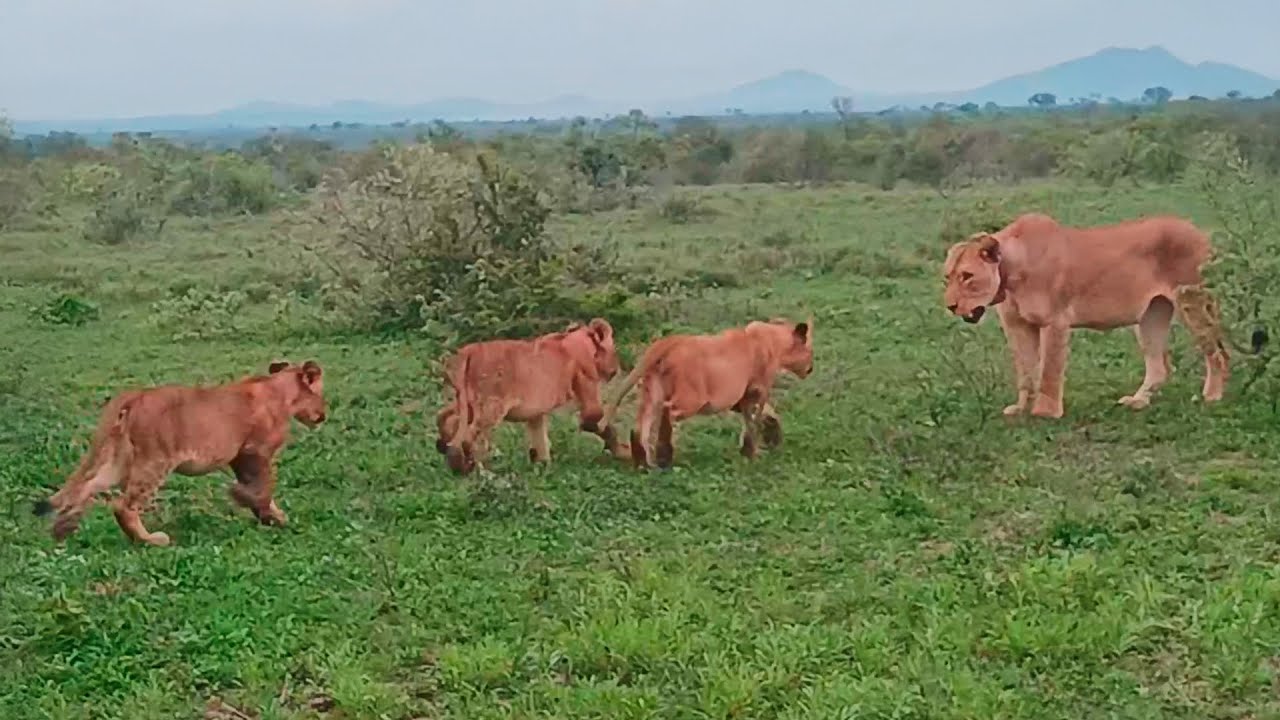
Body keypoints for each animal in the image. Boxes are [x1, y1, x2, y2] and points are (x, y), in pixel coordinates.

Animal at [33, 360, 327, 547]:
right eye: (322, 395)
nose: (324, 416)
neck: (280, 390)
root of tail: (136, 394)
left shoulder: (241, 457)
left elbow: (258, 488)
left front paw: (271, 516)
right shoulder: (254, 452)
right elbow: (264, 487)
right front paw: (261, 510)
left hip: (119, 460)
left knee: (87, 486)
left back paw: (63, 530)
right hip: (155, 461)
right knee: (122, 506)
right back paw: (152, 541)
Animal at [435, 318, 628, 473]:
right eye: (614, 348)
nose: (616, 369)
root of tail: (469, 351)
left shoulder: (536, 412)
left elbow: (540, 439)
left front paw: (543, 467)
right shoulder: (587, 388)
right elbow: (601, 425)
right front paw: (624, 452)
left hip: (467, 403)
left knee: (443, 416)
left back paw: (445, 447)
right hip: (492, 407)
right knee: (468, 437)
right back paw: (471, 469)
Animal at [601, 317, 814, 468]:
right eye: (810, 351)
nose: (811, 369)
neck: (770, 339)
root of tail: (667, 342)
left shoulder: (739, 398)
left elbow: (764, 415)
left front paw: (768, 438)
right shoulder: (757, 391)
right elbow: (754, 422)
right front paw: (752, 453)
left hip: (652, 393)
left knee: (639, 426)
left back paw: (644, 463)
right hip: (690, 400)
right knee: (667, 414)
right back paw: (664, 458)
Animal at [943, 212, 1230, 418]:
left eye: (967, 276)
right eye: (947, 277)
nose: (950, 306)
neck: (1012, 273)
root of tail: (1200, 233)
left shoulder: (1055, 321)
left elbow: (1049, 371)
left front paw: (1046, 413)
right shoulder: (1017, 325)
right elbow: (1025, 370)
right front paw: (1020, 409)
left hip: (1191, 301)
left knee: (1217, 355)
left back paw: (1212, 397)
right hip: (1151, 315)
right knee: (1159, 366)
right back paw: (1137, 401)